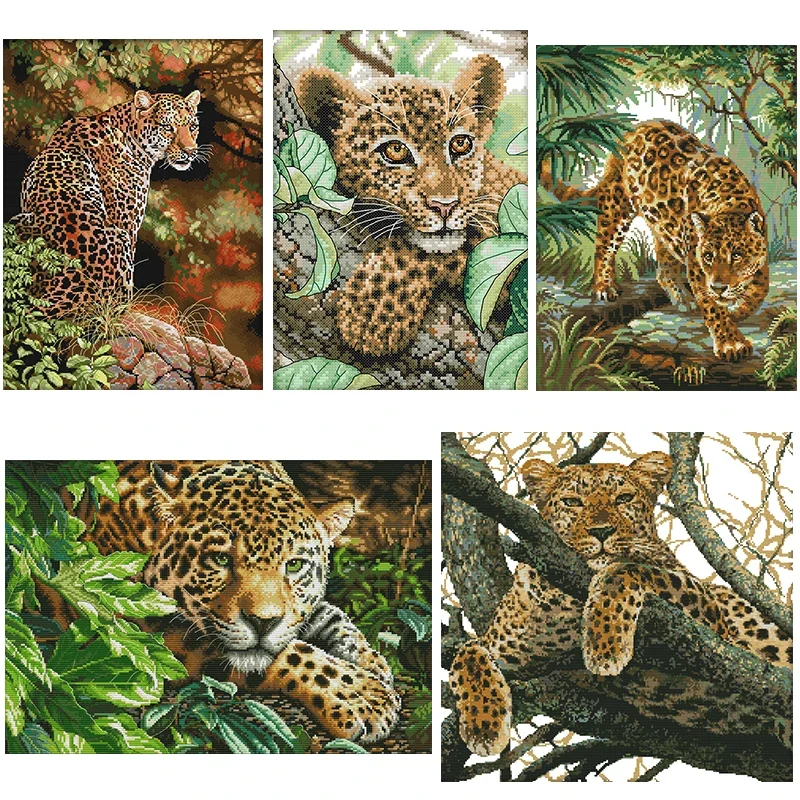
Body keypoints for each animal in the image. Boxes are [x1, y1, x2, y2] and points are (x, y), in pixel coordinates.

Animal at [40, 460, 401, 744]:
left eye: (295, 565)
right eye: (220, 560)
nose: (263, 623)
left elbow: (333, 617)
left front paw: (374, 664)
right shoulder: (140, 627)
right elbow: (294, 653)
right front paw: (363, 696)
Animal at [448, 452, 792, 757]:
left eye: (623, 498)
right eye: (573, 502)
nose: (602, 531)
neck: (569, 596)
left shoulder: (713, 621)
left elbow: (623, 568)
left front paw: (605, 648)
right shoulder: (511, 646)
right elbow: (467, 653)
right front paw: (483, 727)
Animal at [590, 120, 769, 361]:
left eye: (737, 255)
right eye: (708, 256)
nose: (718, 287)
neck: (731, 204)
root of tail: (633, 129)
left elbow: (760, 289)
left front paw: (738, 310)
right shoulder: (698, 270)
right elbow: (714, 308)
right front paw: (731, 343)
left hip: (662, 224)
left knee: (663, 268)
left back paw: (683, 298)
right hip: (616, 205)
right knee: (603, 247)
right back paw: (605, 287)